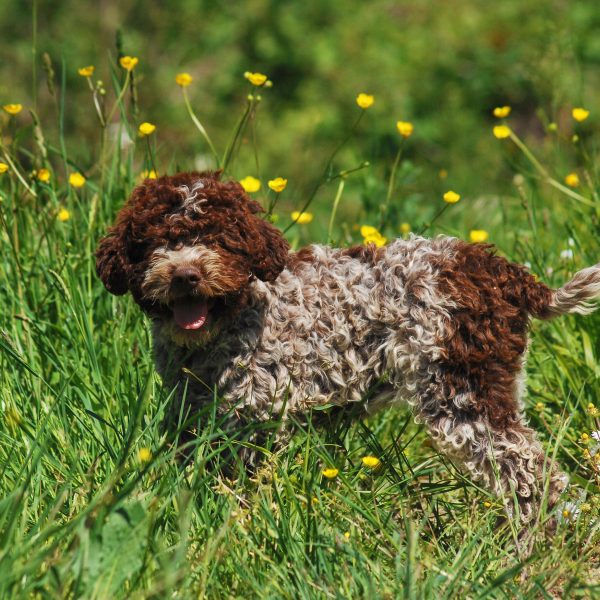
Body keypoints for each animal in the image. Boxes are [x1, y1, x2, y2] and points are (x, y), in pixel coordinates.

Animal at [96, 171, 600, 524]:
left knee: (531, 471)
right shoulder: (195, 416)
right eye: (155, 242)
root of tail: (497, 270)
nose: (186, 275)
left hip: (463, 392)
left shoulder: (257, 421)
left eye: (217, 238)